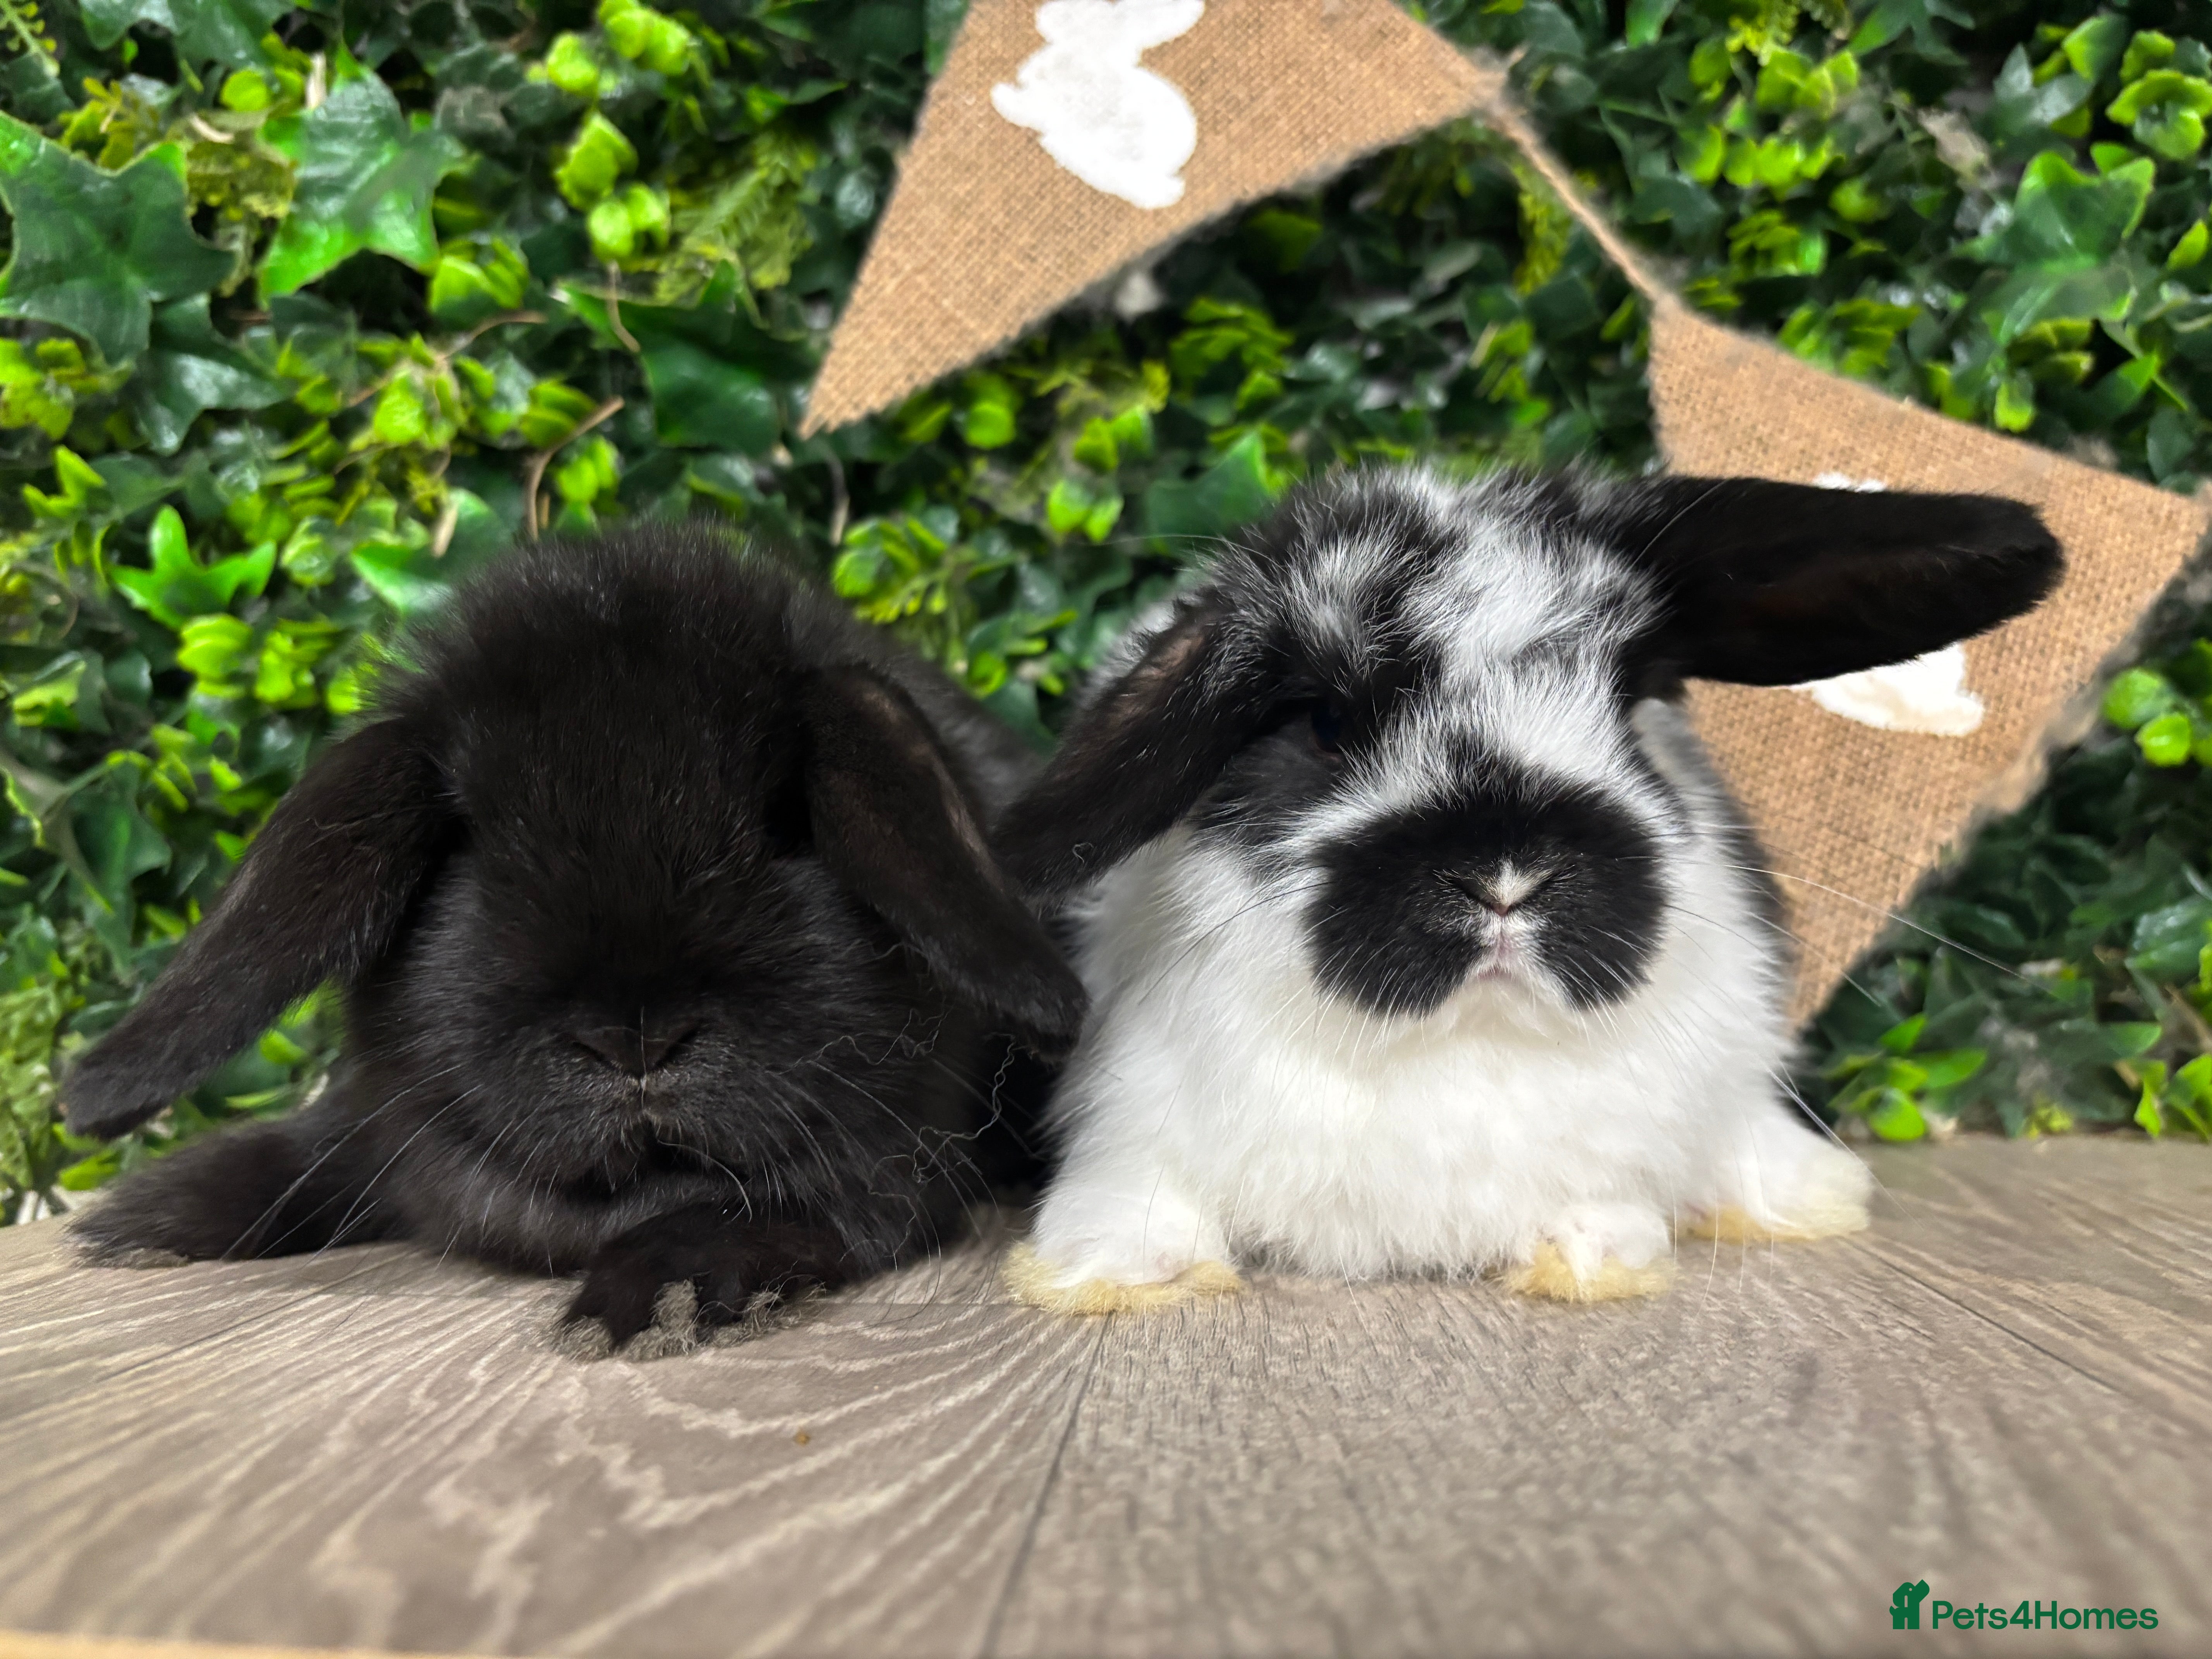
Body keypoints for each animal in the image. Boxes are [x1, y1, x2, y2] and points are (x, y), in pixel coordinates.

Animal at [61, 528, 1087, 1348]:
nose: (634, 1040)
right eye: (469, 842)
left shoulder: (887, 1178)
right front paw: (144, 1218)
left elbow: (762, 1213)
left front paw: (646, 1304)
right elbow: (316, 1148)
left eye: (786, 824)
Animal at [992, 466, 2063, 1312]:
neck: (1463, 1043)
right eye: (1325, 722)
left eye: (1630, 705)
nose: (1507, 876)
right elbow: (1139, 1195)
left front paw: (1598, 1252)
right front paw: (1117, 1270)